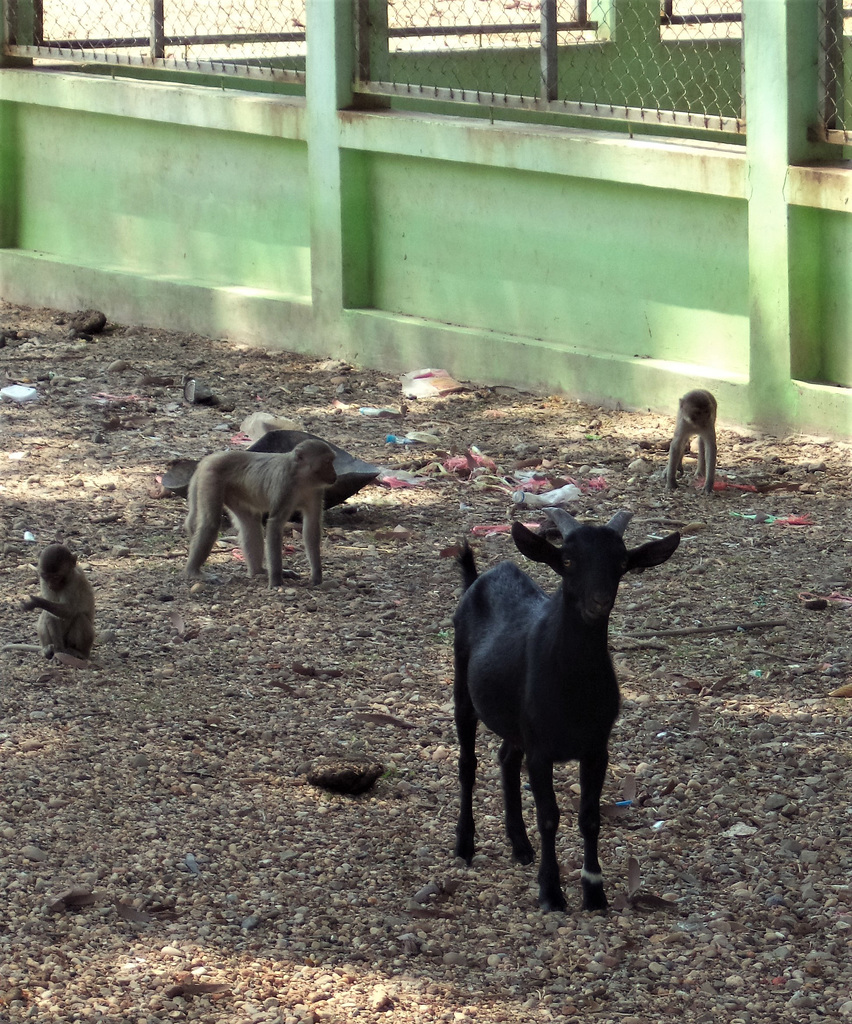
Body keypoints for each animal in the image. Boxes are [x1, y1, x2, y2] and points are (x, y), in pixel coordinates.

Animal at [185, 436, 335, 589]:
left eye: (331, 461)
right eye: (327, 462)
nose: (334, 474)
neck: (302, 478)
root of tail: (211, 457)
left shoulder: (316, 491)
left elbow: (312, 526)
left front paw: (317, 576)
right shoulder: (285, 486)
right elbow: (275, 524)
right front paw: (276, 580)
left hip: (233, 490)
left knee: (250, 523)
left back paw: (259, 571)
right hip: (211, 477)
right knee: (211, 523)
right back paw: (193, 571)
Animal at [452, 507, 679, 917]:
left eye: (621, 563)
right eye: (569, 560)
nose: (599, 601)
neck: (573, 690)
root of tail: (479, 578)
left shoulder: (596, 749)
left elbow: (589, 818)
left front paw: (594, 893)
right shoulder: (541, 752)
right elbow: (549, 817)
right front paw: (552, 893)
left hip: (517, 725)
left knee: (506, 758)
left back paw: (520, 846)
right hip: (463, 688)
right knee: (468, 764)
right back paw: (464, 846)